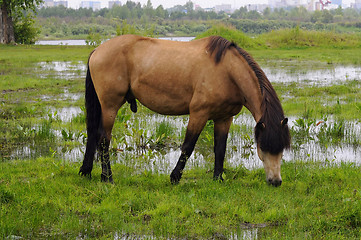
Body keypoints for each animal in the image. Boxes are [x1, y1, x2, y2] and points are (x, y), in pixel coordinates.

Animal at [79, 34, 290, 187]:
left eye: (282, 149)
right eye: (263, 147)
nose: (276, 181)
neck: (227, 72)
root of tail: (98, 50)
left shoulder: (224, 118)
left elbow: (220, 148)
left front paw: (218, 179)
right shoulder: (199, 114)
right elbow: (188, 146)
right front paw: (174, 178)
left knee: (93, 135)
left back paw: (86, 171)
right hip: (110, 106)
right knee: (103, 139)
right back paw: (107, 178)